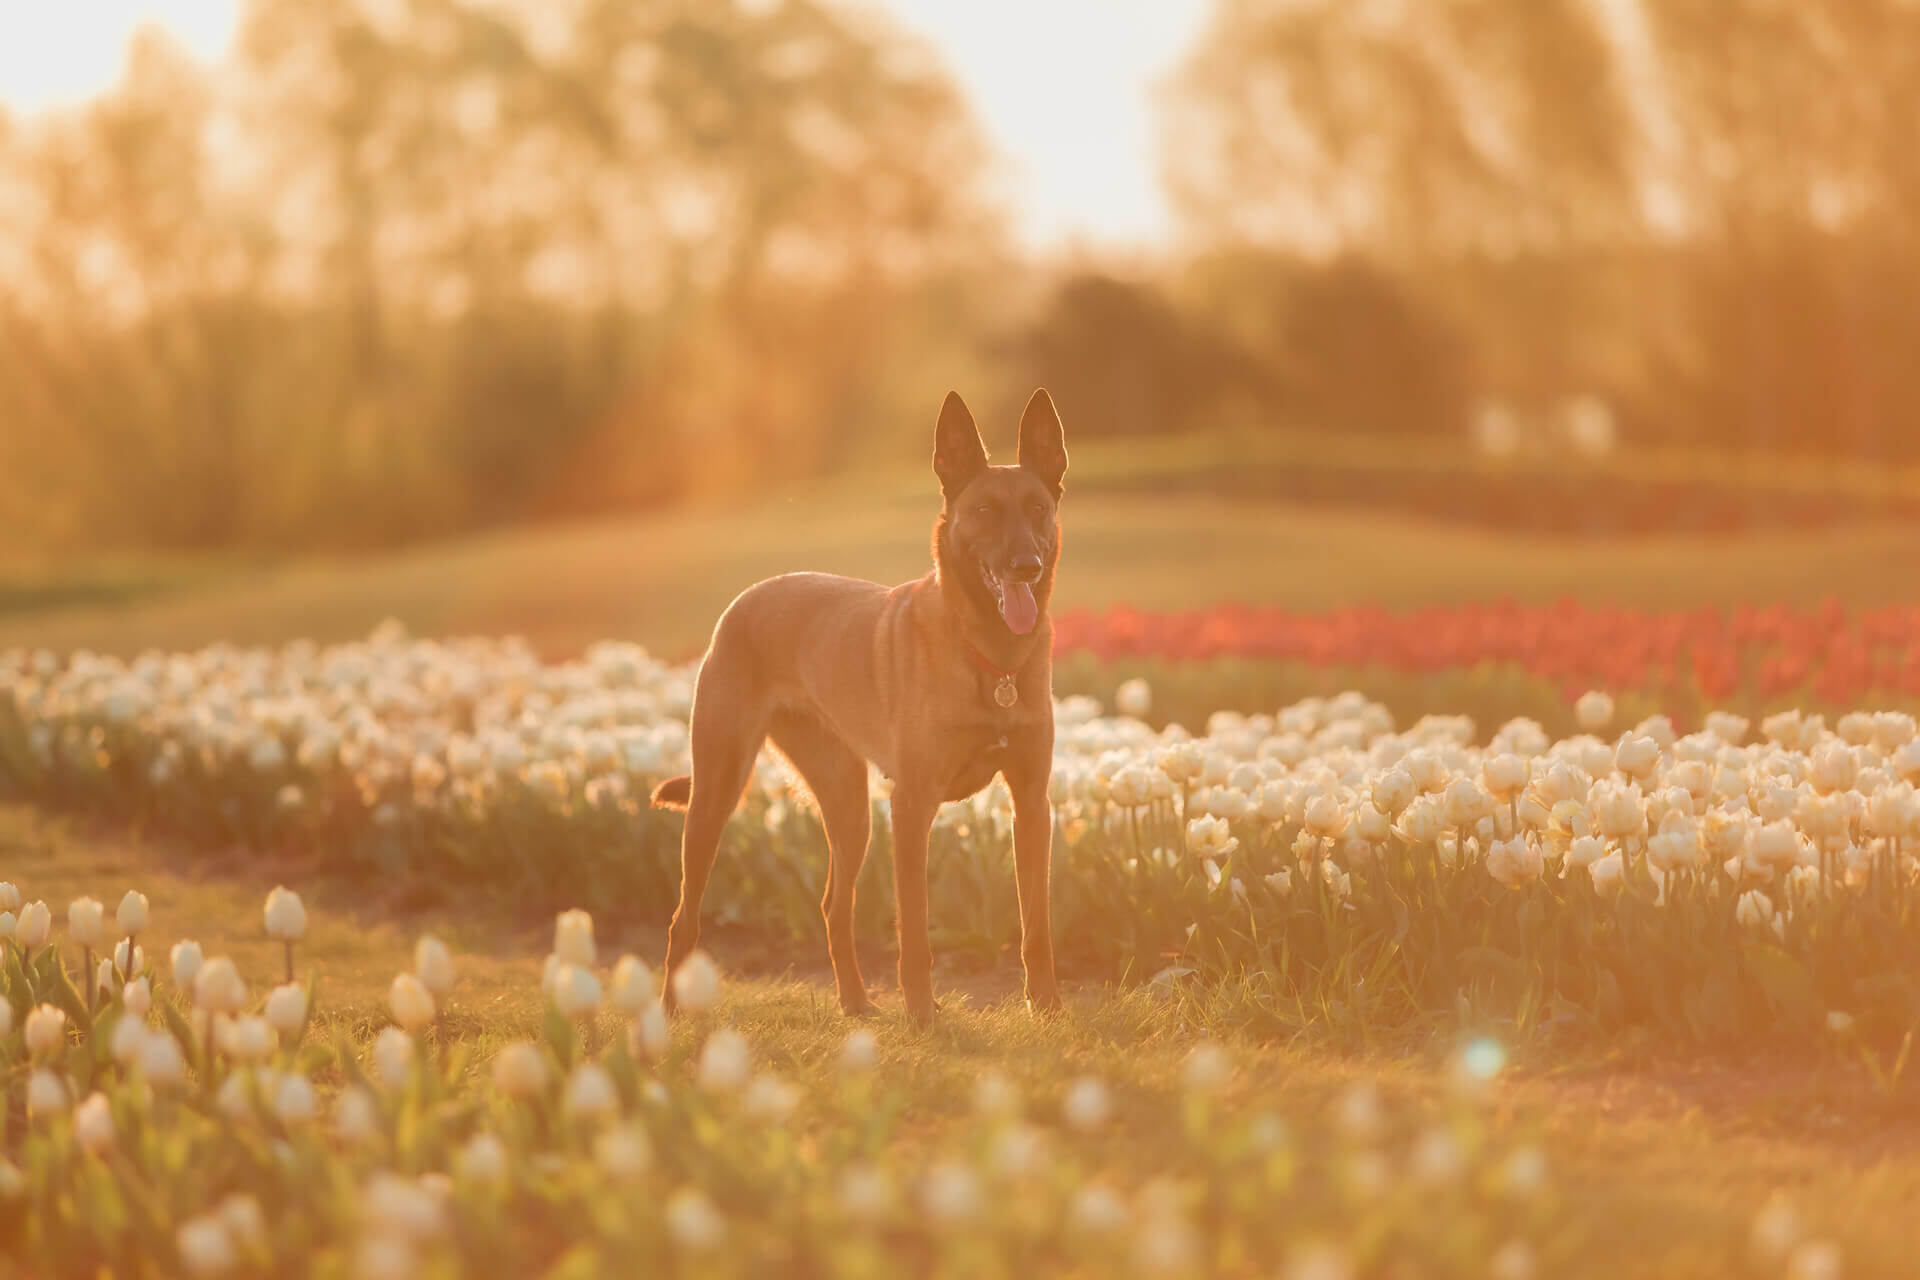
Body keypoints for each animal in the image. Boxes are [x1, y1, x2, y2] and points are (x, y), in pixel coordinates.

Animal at [645, 385, 1067, 1028]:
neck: (991, 658)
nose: (1026, 566)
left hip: (849, 809)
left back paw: (855, 1002)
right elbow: (914, 930)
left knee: (832, 907)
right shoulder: (912, 807)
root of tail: (745, 598)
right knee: (681, 919)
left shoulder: (1030, 804)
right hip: (717, 796)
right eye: (986, 511)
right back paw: (670, 1013)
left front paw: (1044, 1005)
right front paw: (922, 1016)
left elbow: (1036, 923)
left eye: (1038, 509)